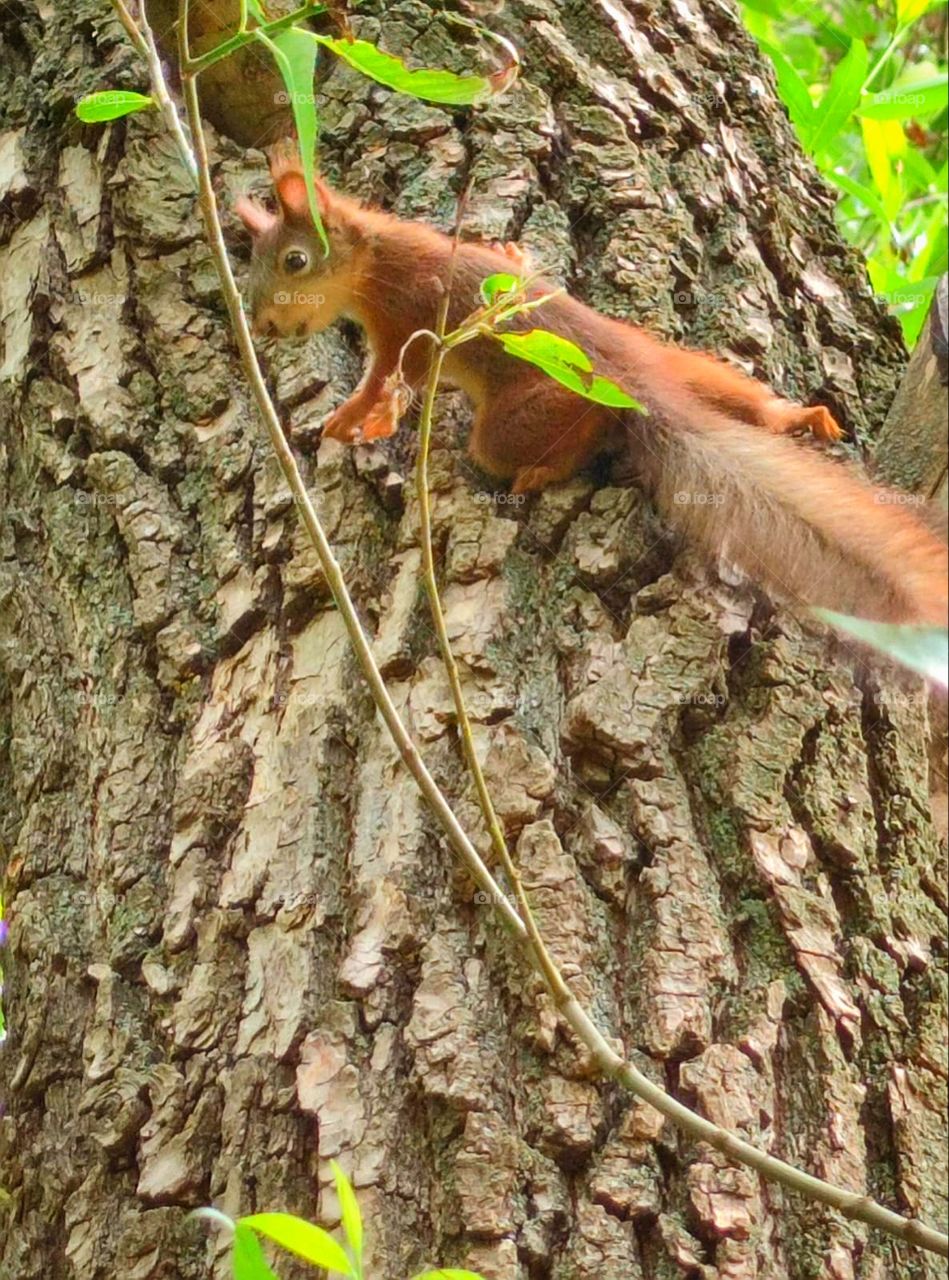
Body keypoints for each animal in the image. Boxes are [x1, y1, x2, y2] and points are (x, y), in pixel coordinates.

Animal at [235, 148, 949, 628]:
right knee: (742, 399)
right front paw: (515, 253)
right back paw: (795, 417)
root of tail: (636, 387)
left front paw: (348, 420)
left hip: (518, 421)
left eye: (295, 261)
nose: (264, 324)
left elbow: (388, 381)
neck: (376, 255)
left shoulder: (407, 319)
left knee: (567, 431)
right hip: (684, 366)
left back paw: (545, 470)